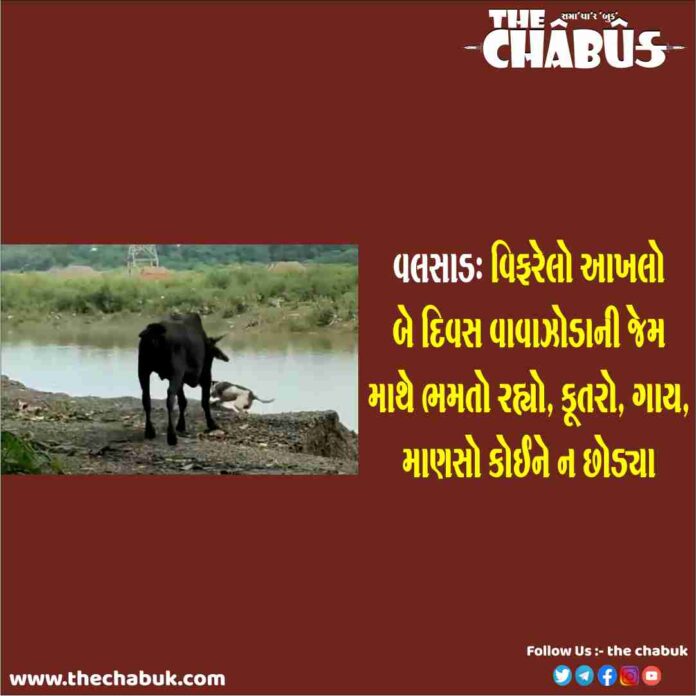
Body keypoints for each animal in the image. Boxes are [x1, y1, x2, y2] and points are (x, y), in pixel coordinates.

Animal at [138, 313, 229, 446]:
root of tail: (155, 331)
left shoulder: (181, 379)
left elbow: (183, 401)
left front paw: (181, 425)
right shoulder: (205, 376)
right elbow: (204, 402)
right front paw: (211, 424)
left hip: (143, 369)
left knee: (146, 398)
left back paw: (150, 431)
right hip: (176, 372)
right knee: (170, 398)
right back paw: (171, 436)